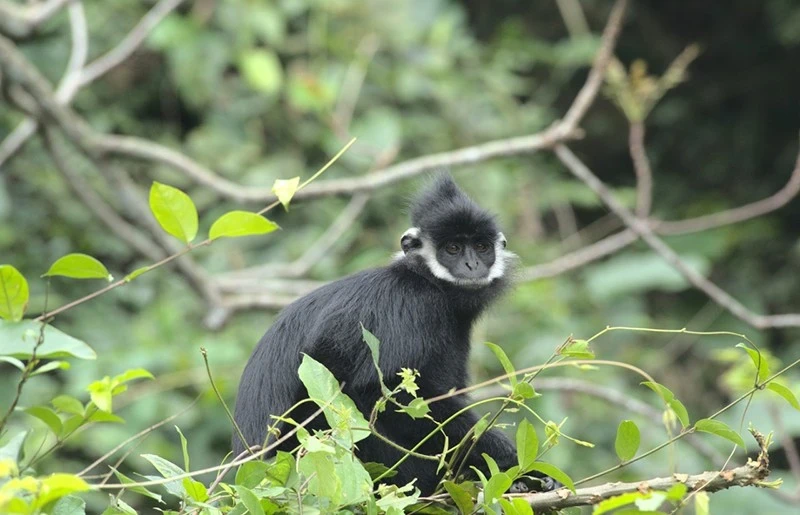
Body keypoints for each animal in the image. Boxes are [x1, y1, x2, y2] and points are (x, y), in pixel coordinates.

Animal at [234, 176, 552, 496]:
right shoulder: (407, 305)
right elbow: (370, 388)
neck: (426, 281)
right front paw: (511, 460)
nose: (472, 265)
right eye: (452, 248)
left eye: (481, 246)